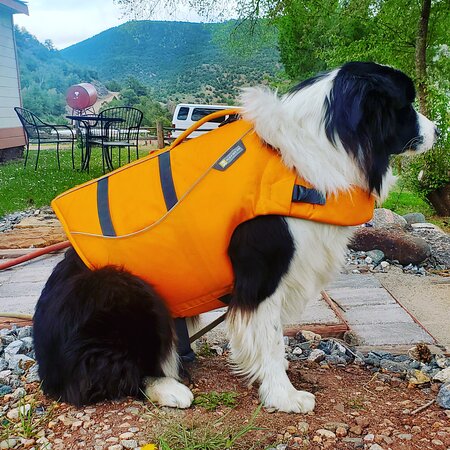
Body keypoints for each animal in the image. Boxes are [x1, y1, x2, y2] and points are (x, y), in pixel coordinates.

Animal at [34, 61, 436, 414]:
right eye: (406, 105)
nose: (437, 130)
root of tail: (48, 368)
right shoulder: (262, 274)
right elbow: (271, 337)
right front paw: (284, 396)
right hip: (128, 290)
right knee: (109, 374)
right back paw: (169, 388)